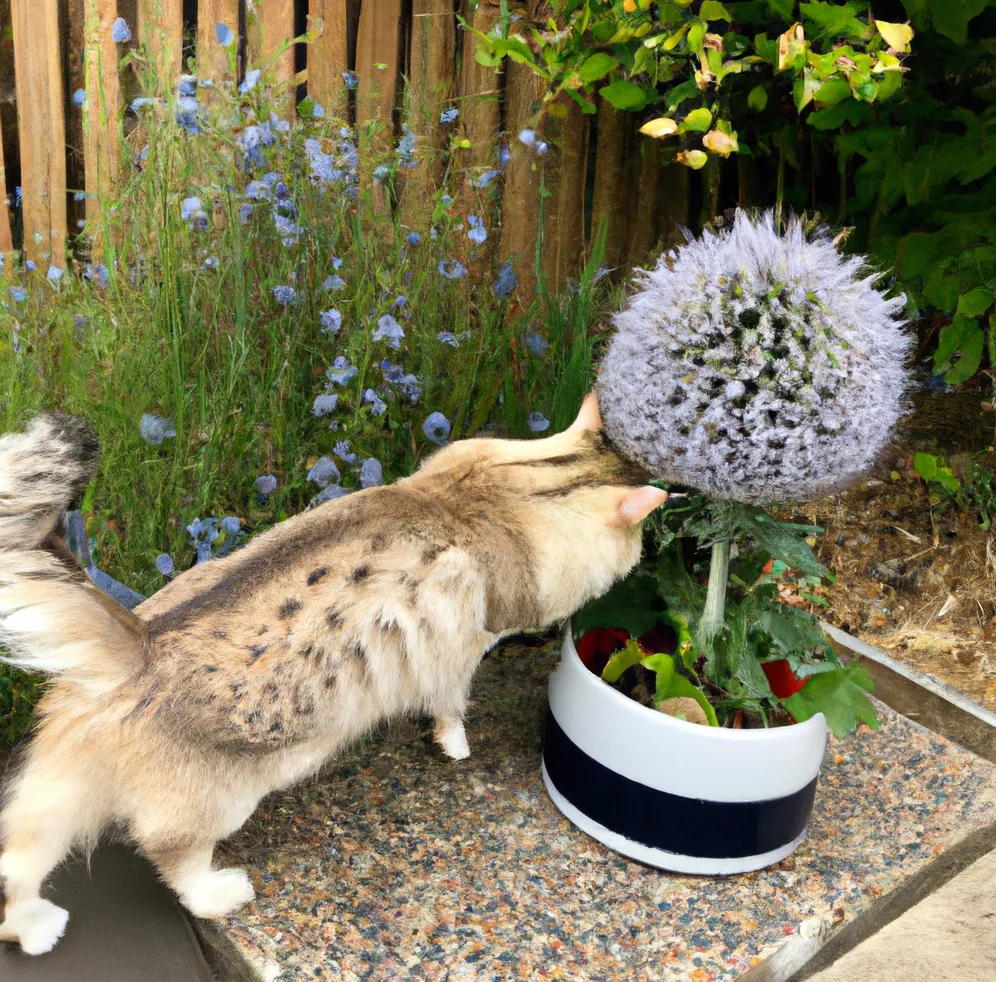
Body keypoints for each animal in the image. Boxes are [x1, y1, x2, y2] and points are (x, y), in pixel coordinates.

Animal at [1, 396, 668, 956]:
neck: (494, 492)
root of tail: (140, 644)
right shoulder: (463, 649)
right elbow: (451, 707)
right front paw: (455, 747)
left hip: (59, 789)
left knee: (16, 861)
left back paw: (33, 930)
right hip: (213, 804)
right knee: (168, 857)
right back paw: (221, 893)